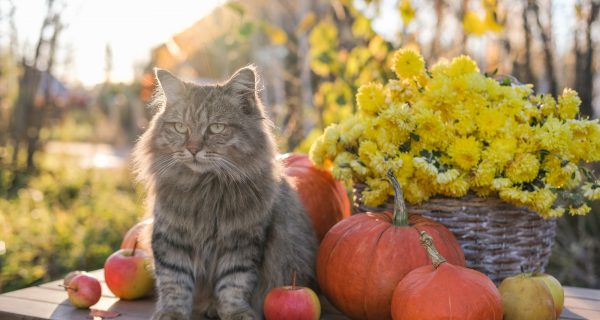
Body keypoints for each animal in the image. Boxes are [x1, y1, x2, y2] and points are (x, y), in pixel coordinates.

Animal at [132, 65, 318, 320]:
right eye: (180, 127)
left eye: (216, 128)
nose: (192, 150)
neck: (207, 188)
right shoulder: (172, 236)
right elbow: (174, 282)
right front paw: (171, 313)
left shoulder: (242, 240)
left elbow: (234, 284)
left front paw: (236, 313)